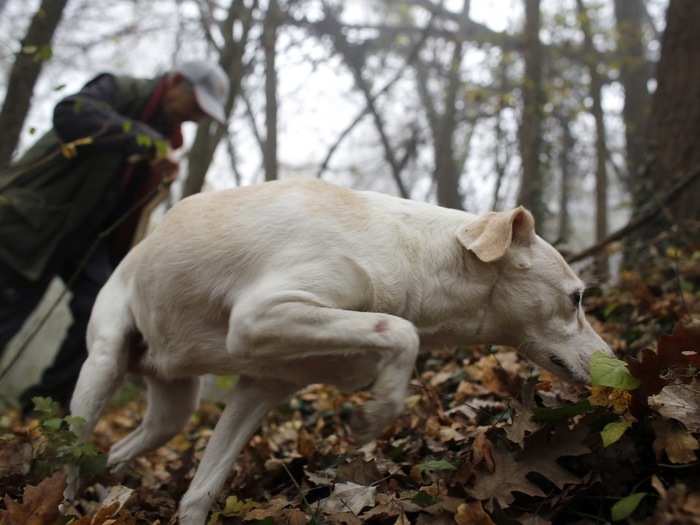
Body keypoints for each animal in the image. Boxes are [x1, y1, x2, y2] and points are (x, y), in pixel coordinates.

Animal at [68, 178, 608, 520]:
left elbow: (199, 494)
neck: (414, 254)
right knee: (71, 455)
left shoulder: (263, 386)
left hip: (174, 411)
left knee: (112, 452)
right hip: (103, 367)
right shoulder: (259, 316)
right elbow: (400, 331)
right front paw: (379, 410)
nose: (616, 364)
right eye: (576, 298)